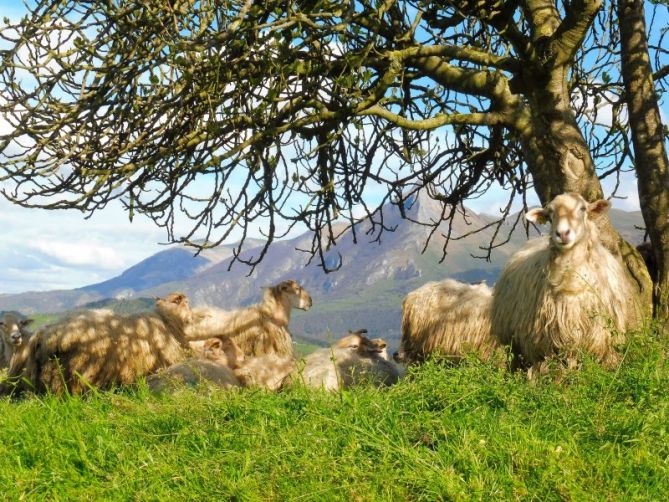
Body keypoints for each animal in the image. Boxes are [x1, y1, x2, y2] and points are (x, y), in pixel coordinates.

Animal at [490, 194, 632, 370]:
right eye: (550, 215)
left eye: (582, 209)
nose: (563, 233)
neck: (571, 282)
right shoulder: (552, 342)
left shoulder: (602, 339)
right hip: (512, 341)